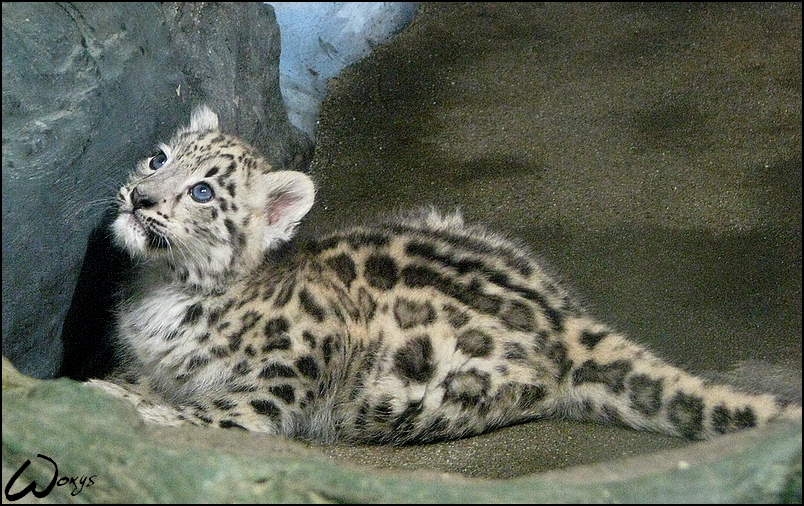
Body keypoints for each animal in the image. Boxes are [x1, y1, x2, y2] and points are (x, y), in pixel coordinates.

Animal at [89, 105, 801, 445]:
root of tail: (567, 316)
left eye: (204, 191)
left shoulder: (268, 391)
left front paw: (118, 401)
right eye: (159, 156)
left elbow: (196, 410)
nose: (141, 198)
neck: (158, 293)